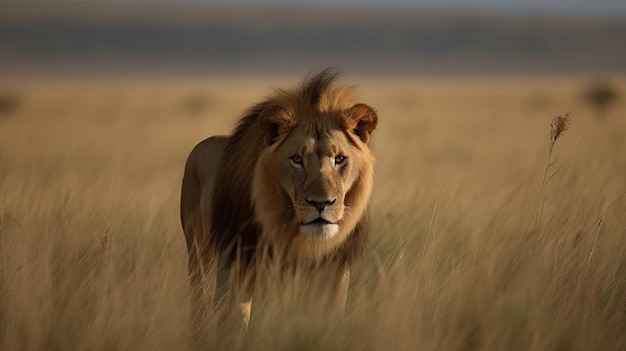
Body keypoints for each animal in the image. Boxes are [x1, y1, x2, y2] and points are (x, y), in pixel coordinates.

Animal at [178, 68, 378, 330]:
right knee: (199, 296)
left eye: (339, 159)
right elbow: (234, 320)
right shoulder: (235, 261)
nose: (321, 203)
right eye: (297, 159)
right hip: (198, 251)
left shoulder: (335, 269)